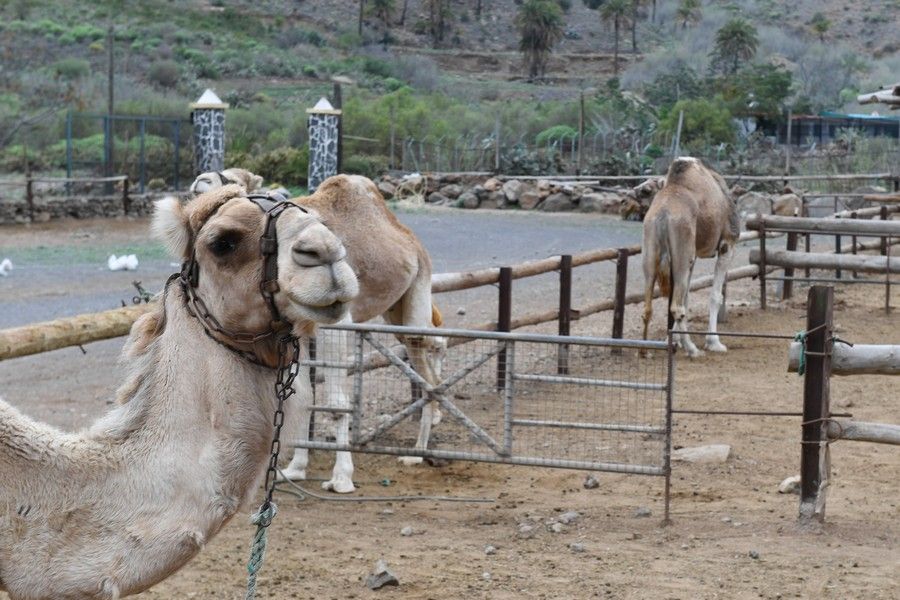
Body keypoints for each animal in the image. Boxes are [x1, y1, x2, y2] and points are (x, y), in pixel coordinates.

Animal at [172, 170, 446, 492]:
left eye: (238, 181)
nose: (200, 181)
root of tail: (411, 239)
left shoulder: (336, 321)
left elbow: (336, 402)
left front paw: (342, 477)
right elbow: (304, 396)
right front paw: (296, 468)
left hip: (419, 289)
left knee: (430, 353)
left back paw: (419, 452)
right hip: (396, 311)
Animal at [640, 157, 740, 358]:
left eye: (649, 188)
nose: (638, 191)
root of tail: (663, 215)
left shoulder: (692, 257)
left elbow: (685, 297)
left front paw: (673, 341)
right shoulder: (727, 244)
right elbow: (715, 296)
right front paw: (714, 342)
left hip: (653, 252)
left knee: (649, 307)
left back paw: (644, 351)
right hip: (683, 254)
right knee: (676, 307)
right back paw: (693, 349)